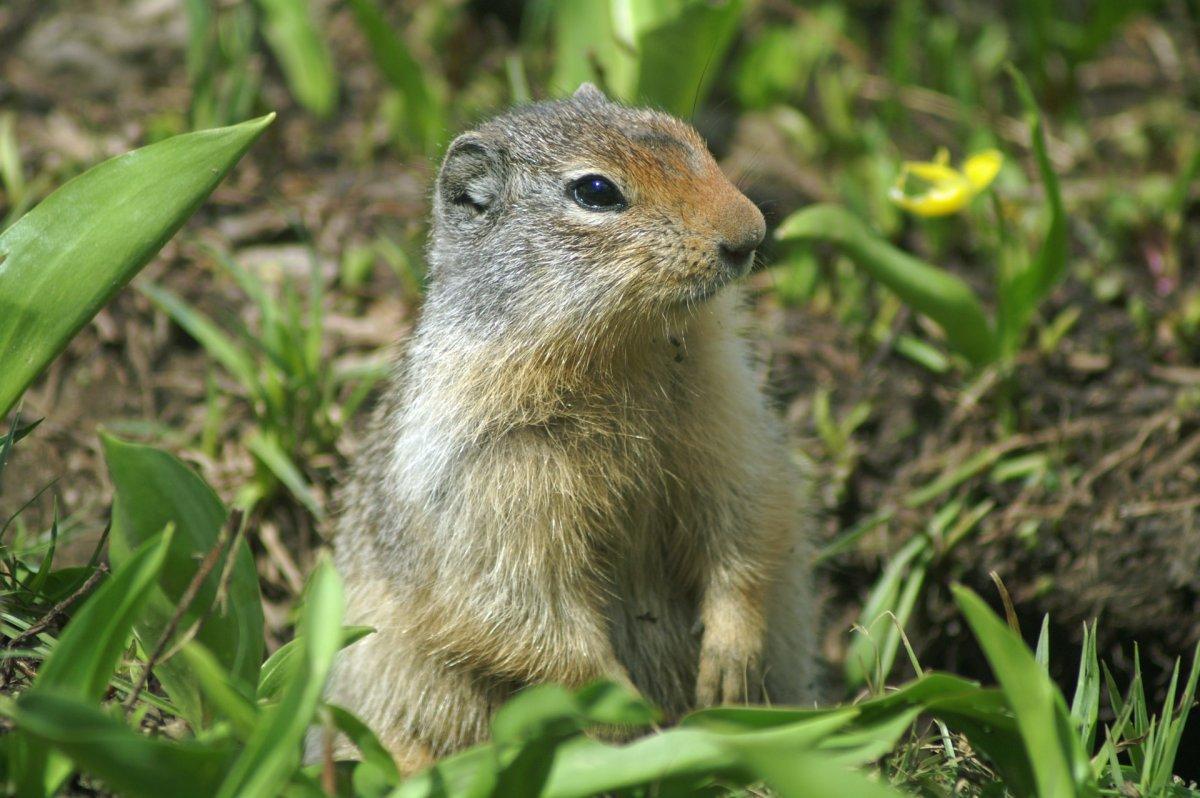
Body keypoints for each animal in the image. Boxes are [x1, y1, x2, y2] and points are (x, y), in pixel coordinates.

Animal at [321, 84, 816, 768]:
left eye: (687, 135)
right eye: (596, 191)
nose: (749, 233)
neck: (625, 359)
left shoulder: (729, 416)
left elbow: (748, 518)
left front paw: (727, 666)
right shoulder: (490, 480)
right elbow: (522, 608)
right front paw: (630, 715)